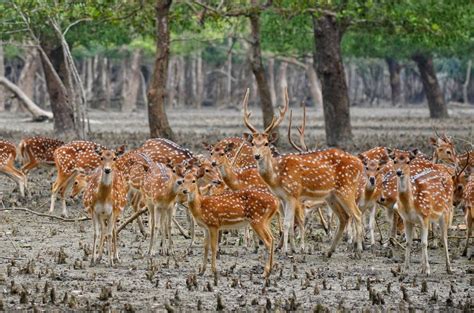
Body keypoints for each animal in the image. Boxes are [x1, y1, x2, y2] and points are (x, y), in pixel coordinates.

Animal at [243, 89, 364, 255]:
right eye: (253, 143)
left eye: (267, 143)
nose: (257, 156)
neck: (277, 177)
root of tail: (359, 163)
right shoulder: (283, 198)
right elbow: (288, 222)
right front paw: (290, 248)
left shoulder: (293, 194)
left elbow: (287, 223)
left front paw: (286, 251)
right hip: (332, 196)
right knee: (345, 217)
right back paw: (329, 251)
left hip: (347, 189)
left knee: (357, 215)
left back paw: (358, 249)